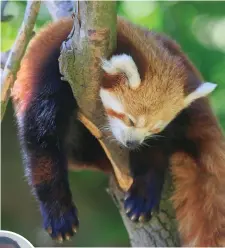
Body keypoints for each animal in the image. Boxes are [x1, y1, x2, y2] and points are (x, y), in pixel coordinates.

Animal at [11, 16, 225, 247]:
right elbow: (42, 143)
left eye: (154, 128)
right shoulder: (53, 73)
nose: (132, 144)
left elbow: (155, 149)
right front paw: (58, 213)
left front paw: (144, 191)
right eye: (129, 119)